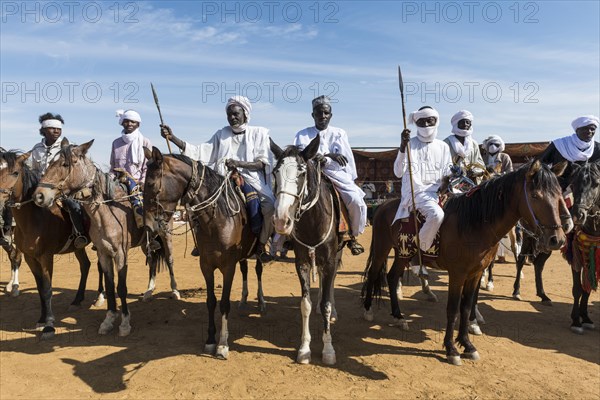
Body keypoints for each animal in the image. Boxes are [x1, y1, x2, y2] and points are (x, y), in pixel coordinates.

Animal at [0, 148, 98, 340]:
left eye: (15, 172)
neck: (35, 218)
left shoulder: (46, 257)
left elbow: (47, 288)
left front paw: (49, 325)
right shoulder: (30, 257)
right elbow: (40, 289)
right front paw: (41, 319)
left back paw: (101, 298)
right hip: (78, 247)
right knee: (85, 265)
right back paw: (77, 300)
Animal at [33, 141, 171, 338]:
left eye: (66, 164)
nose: (39, 195)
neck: (107, 213)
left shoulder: (121, 254)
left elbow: (121, 287)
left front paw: (125, 323)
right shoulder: (104, 253)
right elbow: (110, 285)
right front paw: (109, 320)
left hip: (166, 236)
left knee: (169, 259)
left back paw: (175, 291)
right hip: (147, 243)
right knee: (152, 262)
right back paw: (148, 291)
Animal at [143, 145, 264, 360]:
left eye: (150, 183)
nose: (148, 226)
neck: (218, 219)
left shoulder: (228, 267)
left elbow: (224, 303)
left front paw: (223, 345)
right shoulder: (206, 265)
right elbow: (211, 301)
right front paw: (210, 340)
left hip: (257, 253)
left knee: (258, 270)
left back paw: (261, 300)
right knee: (245, 269)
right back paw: (243, 299)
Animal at [270, 137, 344, 366]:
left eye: (302, 173)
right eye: (275, 173)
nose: (281, 220)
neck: (313, 222)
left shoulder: (329, 260)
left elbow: (326, 303)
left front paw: (328, 349)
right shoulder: (302, 262)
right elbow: (306, 304)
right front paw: (304, 349)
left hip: (336, 254)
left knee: (331, 284)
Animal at [360, 160, 568, 366]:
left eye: (559, 195)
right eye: (535, 195)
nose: (557, 239)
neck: (474, 223)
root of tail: (384, 205)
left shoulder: (475, 273)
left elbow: (466, 307)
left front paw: (467, 344)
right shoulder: (457, 274)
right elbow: (453, 309)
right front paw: (451, 349)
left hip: (402, 254)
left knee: (392, 277)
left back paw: (399, 316)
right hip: (382, 248)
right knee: (374, 273)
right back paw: (368, 310)